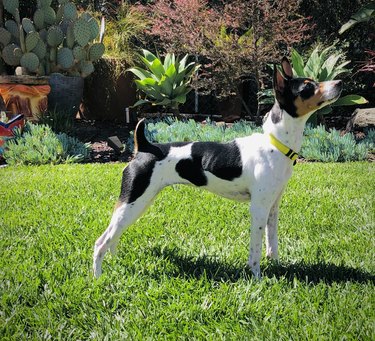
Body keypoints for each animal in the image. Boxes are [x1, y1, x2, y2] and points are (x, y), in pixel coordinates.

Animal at [92, 56, 342, 278]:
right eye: (308, 87)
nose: (339, 82)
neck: (275, 143)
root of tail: (145, 147)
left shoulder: (273, 207)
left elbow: (272, 243)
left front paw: (277, 266)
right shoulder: (258, 209)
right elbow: (255, 251)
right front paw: (257, 277)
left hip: (139, 203)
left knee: (113, 238)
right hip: (133, 202)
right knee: (100, 242)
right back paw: (98, 278)